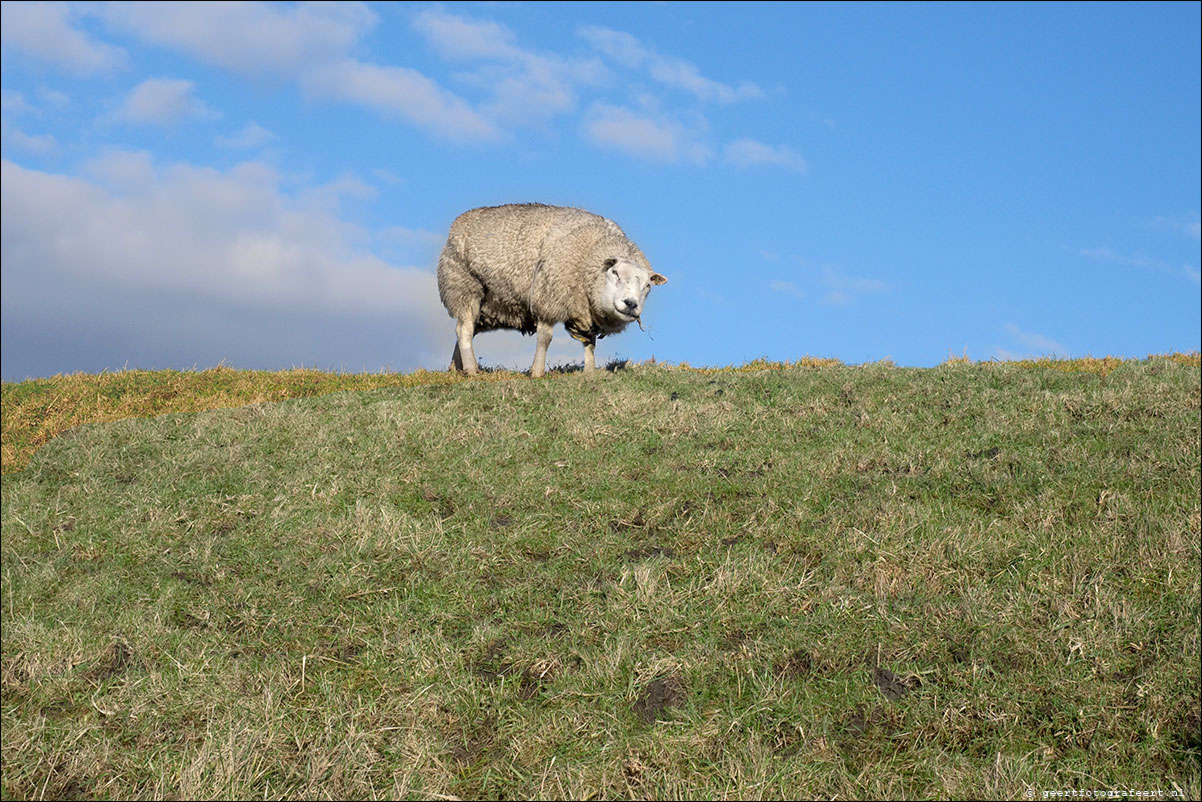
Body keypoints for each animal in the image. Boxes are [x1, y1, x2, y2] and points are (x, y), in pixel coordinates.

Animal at [437, 200, 668, 377]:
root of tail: (460, 221)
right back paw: (471, 370)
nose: (631, 303)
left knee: (465, 330)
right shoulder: (547, 299)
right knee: (464, 330)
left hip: (490, 305)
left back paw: (455, 369)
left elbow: (590, 343)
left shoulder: (585, 312)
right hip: (464, 288)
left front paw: (590, 372)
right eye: (615, 273)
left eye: (648, 285)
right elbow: (545, 339)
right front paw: (537, 373)